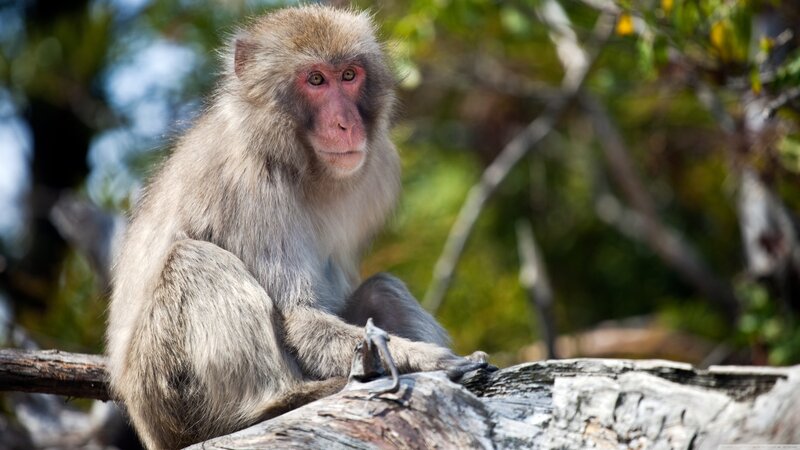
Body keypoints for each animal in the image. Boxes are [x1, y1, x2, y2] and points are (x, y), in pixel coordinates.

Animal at [106, 6, 488, 450]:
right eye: (316, 80)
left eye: (349, 75)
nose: (346, 123)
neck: (294, 158)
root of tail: (147, 426)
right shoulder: (249, 189)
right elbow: (299, 317)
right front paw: (428, 360)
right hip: (168, 394)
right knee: (195, 261)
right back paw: (276, 403)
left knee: (382, 288)